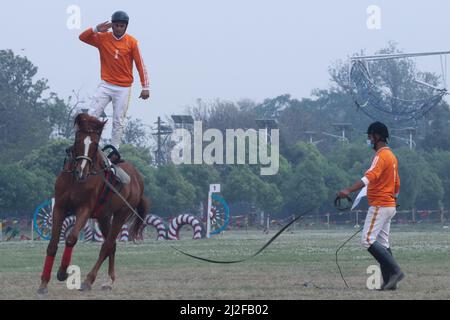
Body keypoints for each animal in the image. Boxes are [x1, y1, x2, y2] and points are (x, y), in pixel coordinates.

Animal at [37, 113, 149, 296]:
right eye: (77, 139)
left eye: (95, 144)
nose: (82, 171)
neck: (75, 179)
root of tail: (138, 178)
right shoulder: (59, 208)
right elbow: (52, 244)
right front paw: (43, 283)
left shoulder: (84, 209)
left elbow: (71, 238)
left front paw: (62, 272)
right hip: (104, 217)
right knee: (112, 245)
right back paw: (108, 281)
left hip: (121, 215)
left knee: (106, 245)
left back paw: (89, 281)